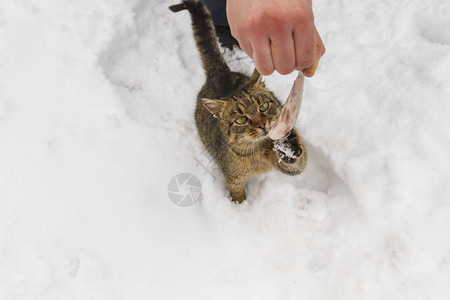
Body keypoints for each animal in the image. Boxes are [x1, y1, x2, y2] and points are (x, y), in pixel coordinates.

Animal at [171, 0, 308, 203]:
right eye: (241, 119)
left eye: (263, 106)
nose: (263, 125)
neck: (259, 152)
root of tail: (219, 73)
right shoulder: (233, 179)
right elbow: (237, 196)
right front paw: (240, 207)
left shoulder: (292, 166)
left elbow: (298, 161)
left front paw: (287, 142)